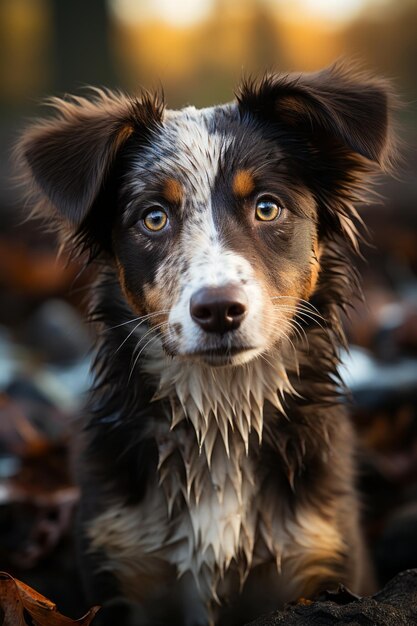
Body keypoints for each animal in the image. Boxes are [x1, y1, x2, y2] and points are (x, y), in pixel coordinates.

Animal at [15, 61, 394, 620]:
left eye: (267, 207)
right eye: (154, 217)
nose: (218, 309)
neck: (222, 412)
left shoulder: (320, 557)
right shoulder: (121, 567)